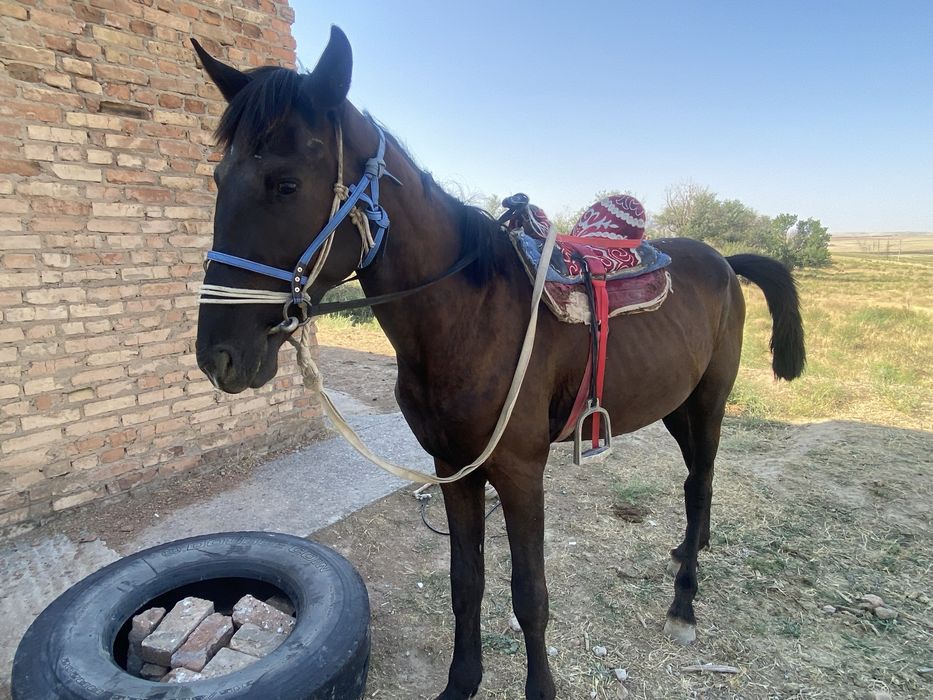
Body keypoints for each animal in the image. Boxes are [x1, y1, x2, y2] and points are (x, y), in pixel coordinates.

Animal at [192, 27, 805, 700]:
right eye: (218, 176)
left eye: (285, 184)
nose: (218, 355)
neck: (469, 317)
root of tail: (722, 259)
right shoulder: (453, 469)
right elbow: (466, 583)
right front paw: (461, 682)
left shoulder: (518, 472)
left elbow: (530, 596)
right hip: (673, 404)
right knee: (698, 482)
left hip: (709, 400)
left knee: (699, 483)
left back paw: (685, 600)